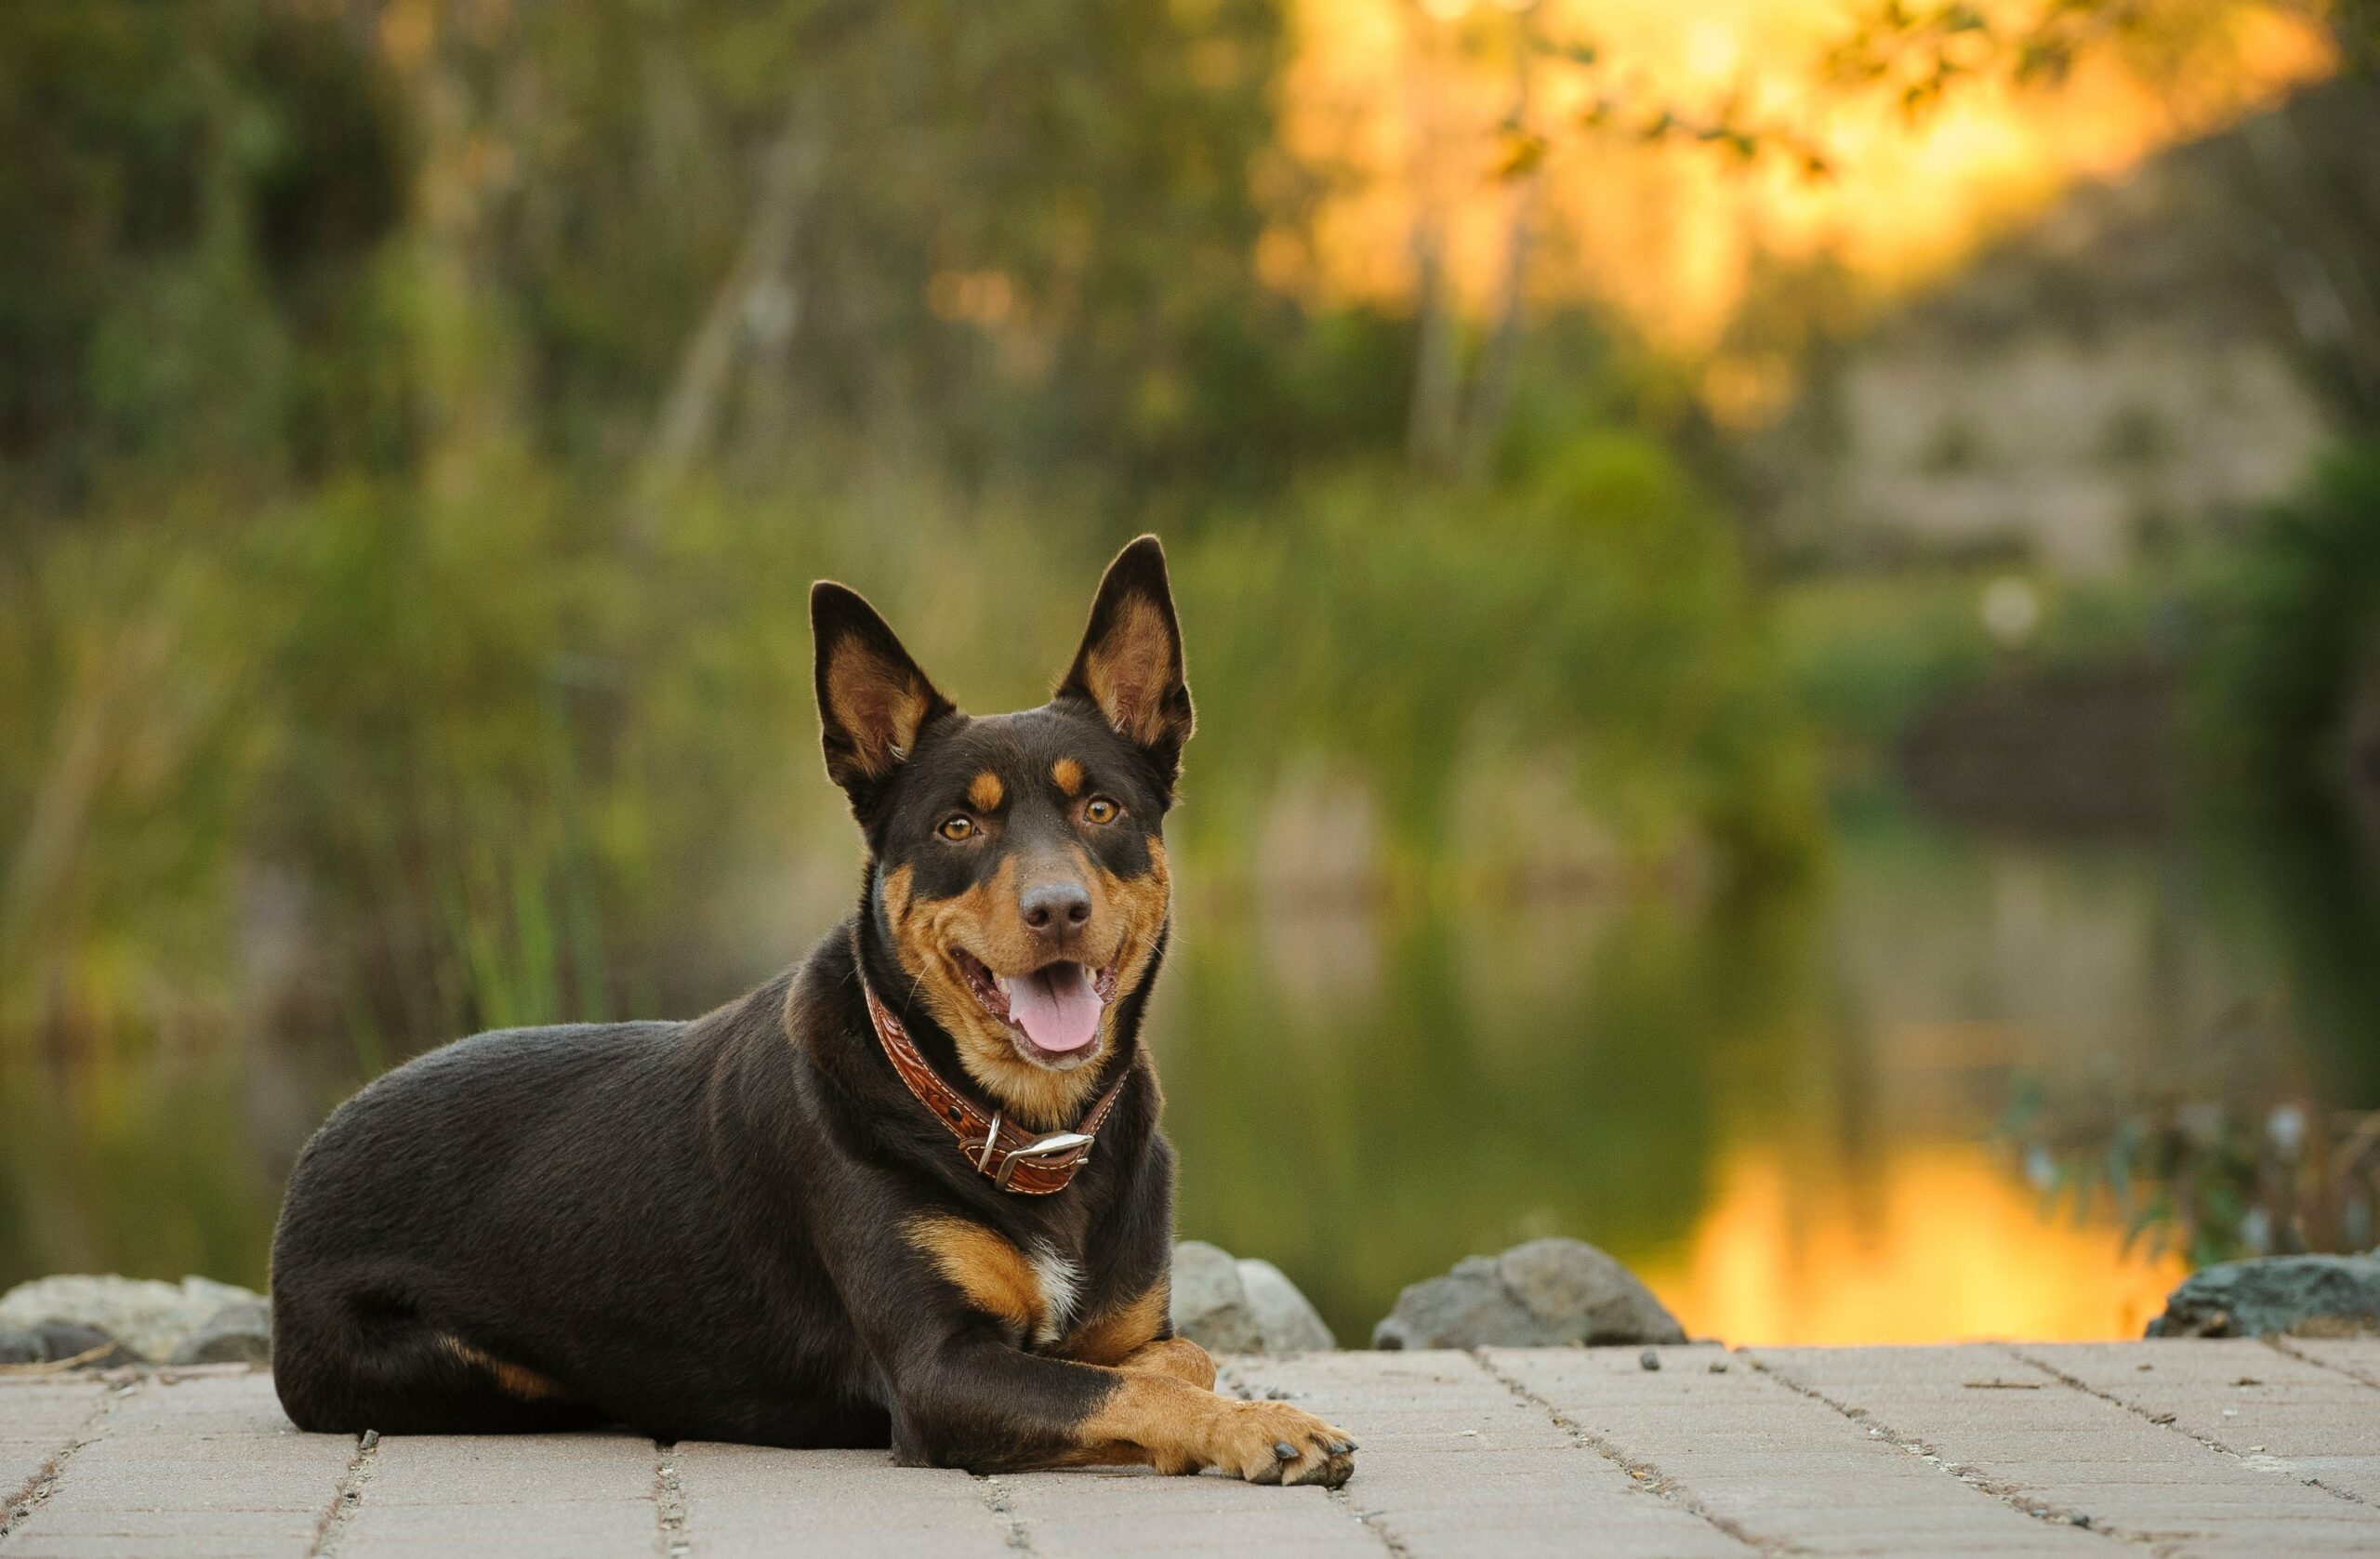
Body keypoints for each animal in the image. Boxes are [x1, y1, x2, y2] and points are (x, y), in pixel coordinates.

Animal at [270, 537, 1361, 1485]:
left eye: (1102, 810)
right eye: (957, 826)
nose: (1057, 909)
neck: (1019, 1132)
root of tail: (312, 1153)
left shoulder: (1131, 1327)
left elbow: (1171, 1361)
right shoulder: (938, 1374)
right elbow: (1128, 1389)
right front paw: (1263, 1426)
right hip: (469, 1368)